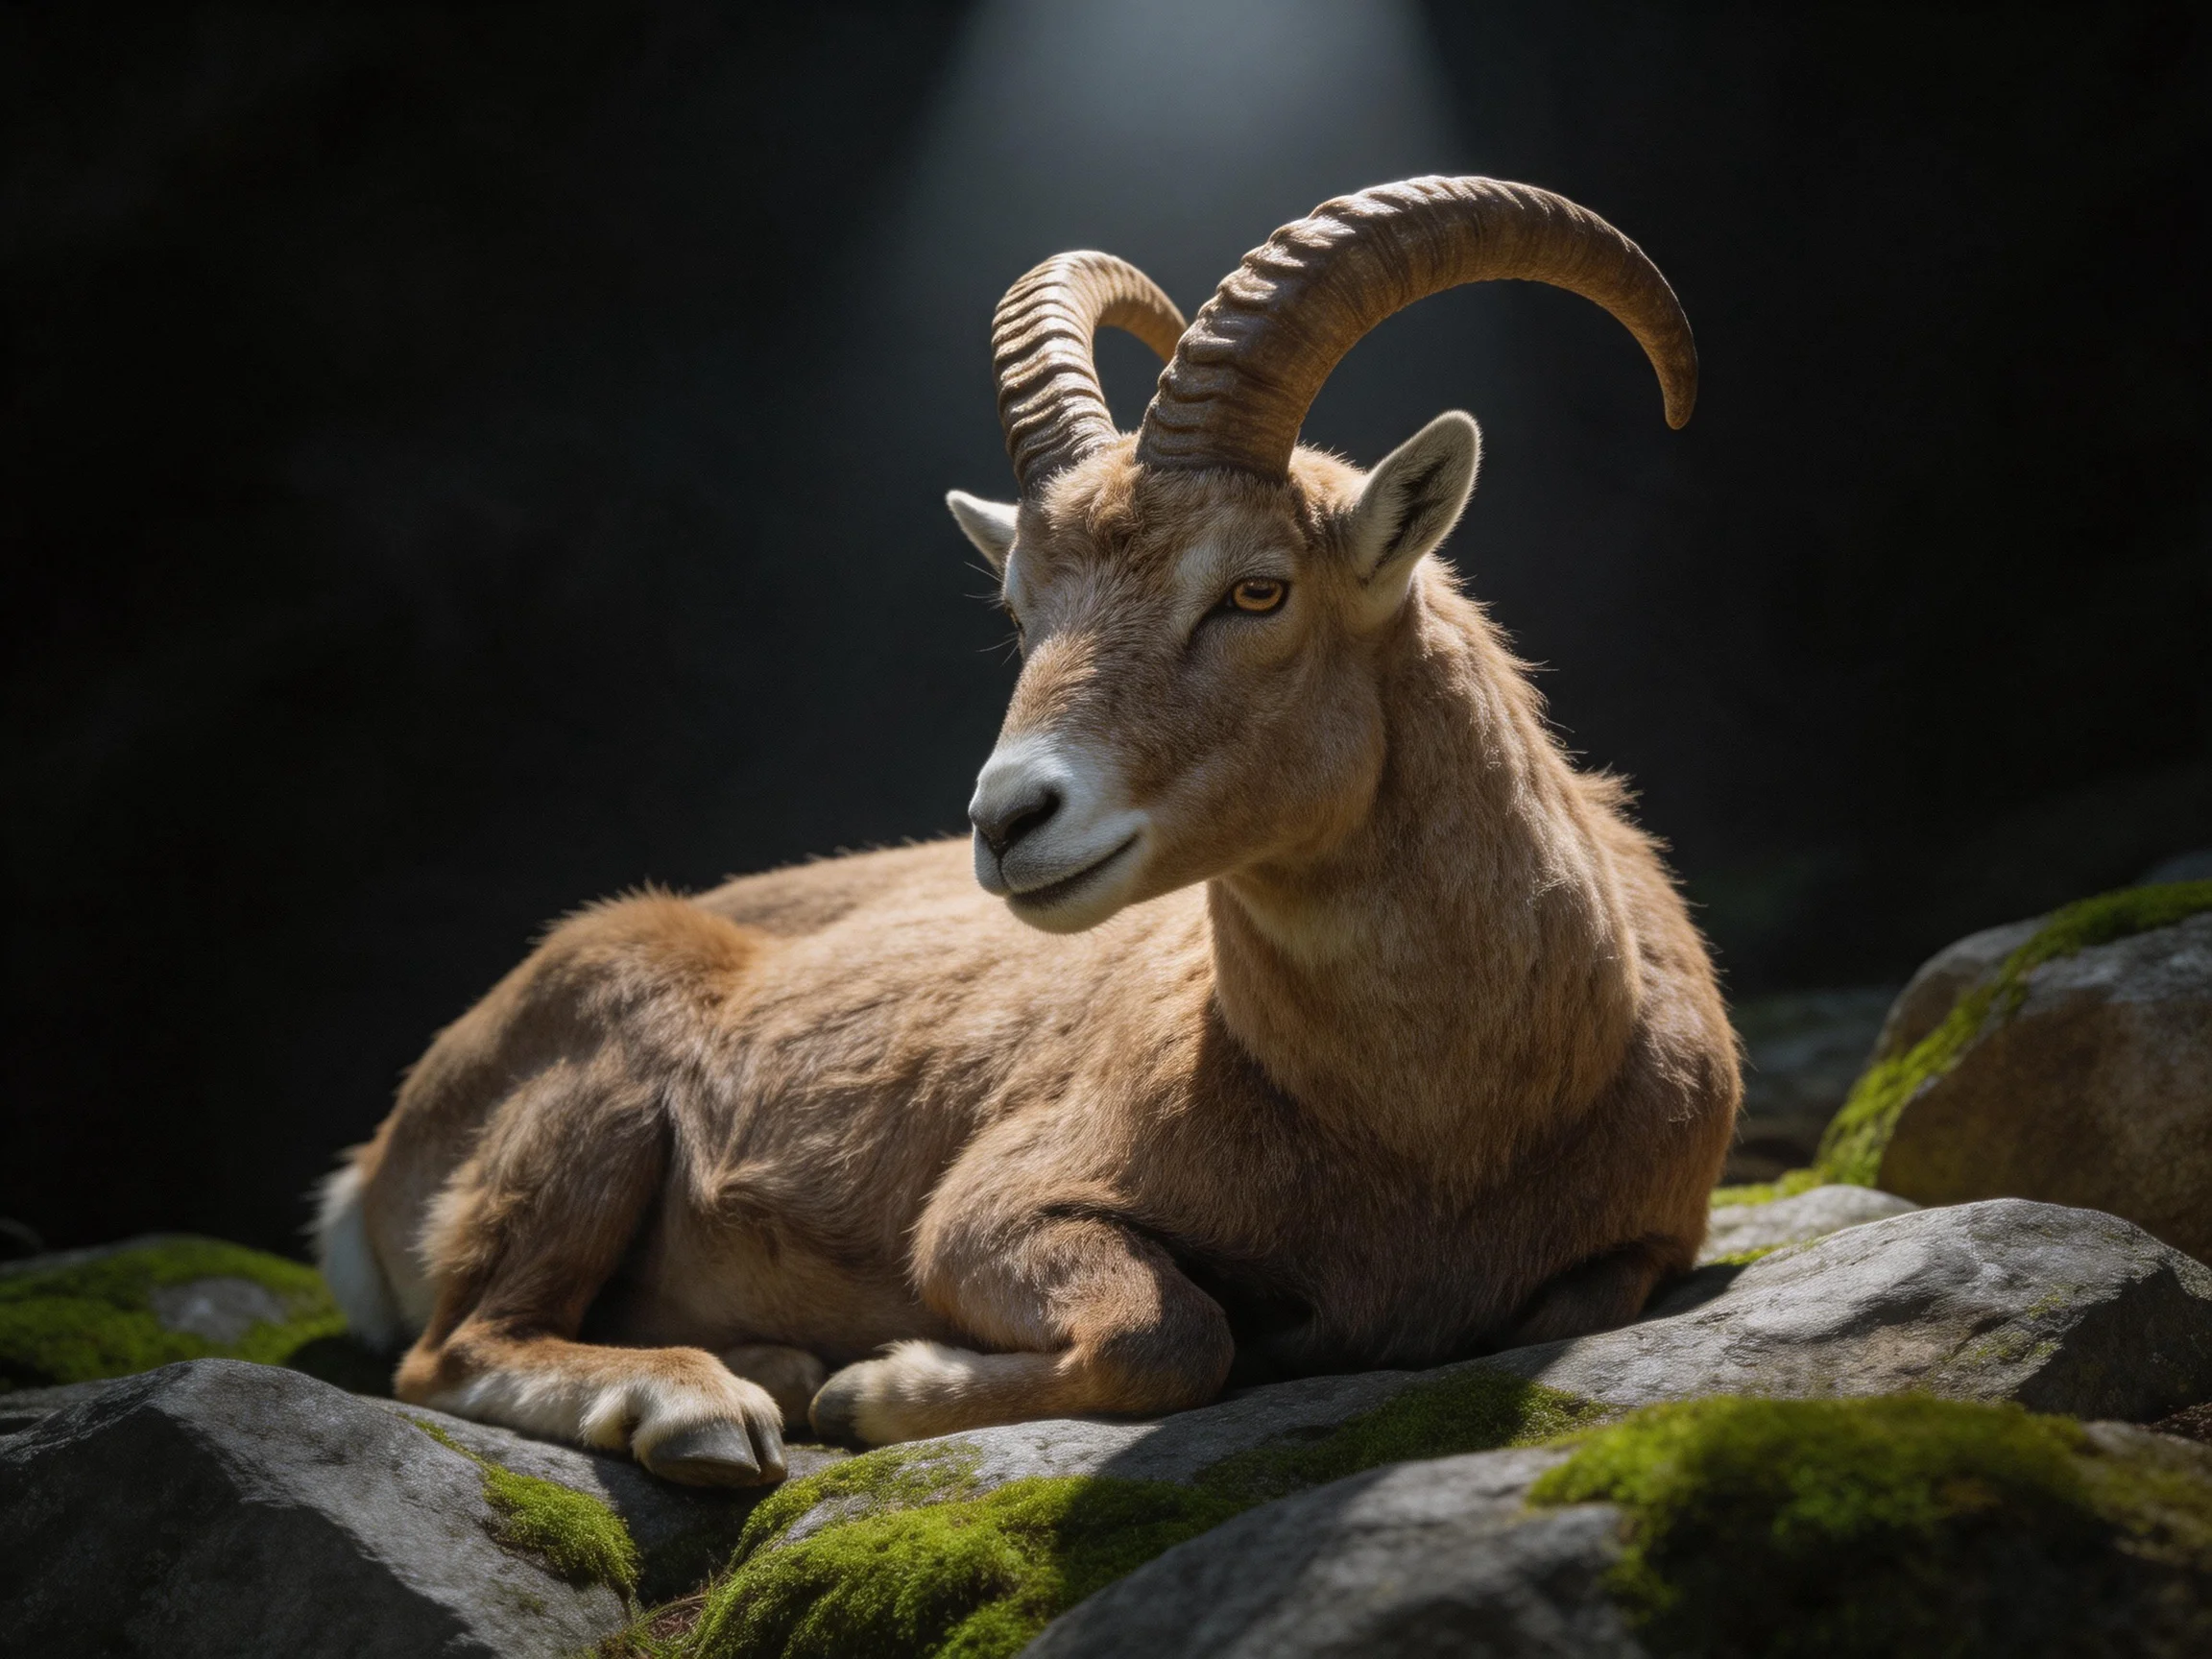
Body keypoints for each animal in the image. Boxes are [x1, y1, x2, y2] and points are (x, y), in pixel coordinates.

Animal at [316, 176, 1739, 1486]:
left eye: (1256, 589)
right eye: (1018, 608)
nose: (1009, 821)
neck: (1438, 1134)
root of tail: (371, 1171)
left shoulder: (1640, 1245)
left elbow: (1555, 1302)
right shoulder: (995, 1209)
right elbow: (1169, 1333)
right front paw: (880, 1388)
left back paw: (771, 1363)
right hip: (592, 1102)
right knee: (454, 1347)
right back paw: (710, 1407)